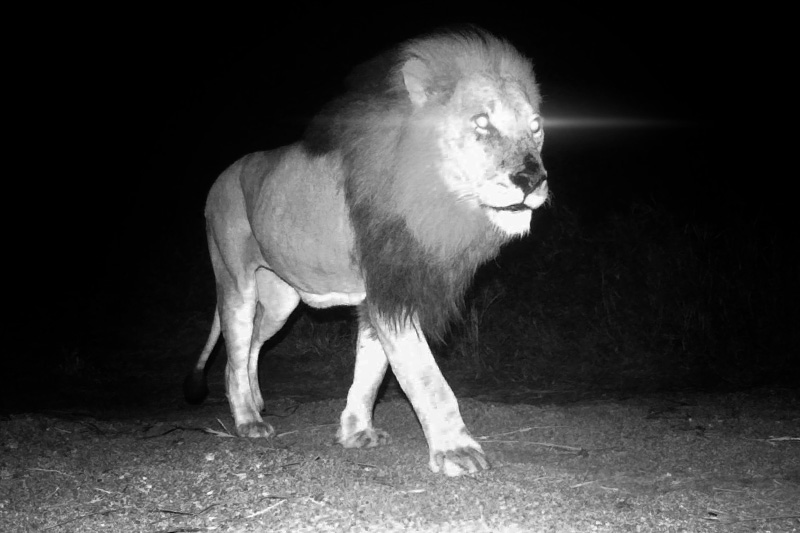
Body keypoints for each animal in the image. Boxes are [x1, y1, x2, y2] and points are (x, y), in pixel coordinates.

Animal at [183, 28, 548, 476]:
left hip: (281, 299)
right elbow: (426, 377)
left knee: (253, 344)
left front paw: (356, 432)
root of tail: (222, 176)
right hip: (235, 281)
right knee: (234, 353)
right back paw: (248, 420)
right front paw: (456, 450)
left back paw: (257, 403)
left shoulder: (384, 294)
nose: (532, 179)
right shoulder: (391, 288)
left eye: (536, 127)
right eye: (481, 121)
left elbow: (370, 371)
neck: (435, 194)